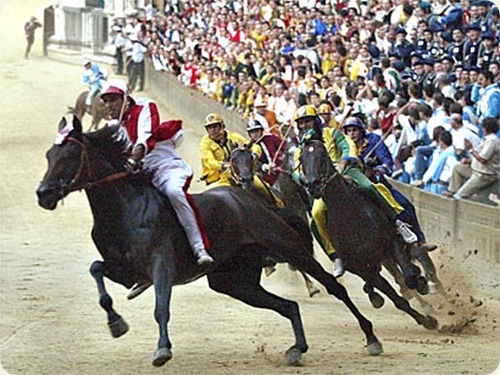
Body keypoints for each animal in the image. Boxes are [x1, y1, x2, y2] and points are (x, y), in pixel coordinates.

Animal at [37, 117, 384, 368]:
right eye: (49, 155)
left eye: (69, 155)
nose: (44, 194)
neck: (125, 207)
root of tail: (252, 202)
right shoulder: (126, 271)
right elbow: (97, 272)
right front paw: (116, 323)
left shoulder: (161, 265)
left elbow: (161, 308)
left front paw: (162, 350)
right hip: (233, 281)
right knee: (288, 305)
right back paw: (297, 348)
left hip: (288, 248)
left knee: (334, 287)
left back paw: (371, 337)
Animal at [296, 140, 438, 330]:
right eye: (301, 159)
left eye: (323, 155)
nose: (313, 185)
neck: (352, 217)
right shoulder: (362, 268)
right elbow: (398, 299)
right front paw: (428, 321)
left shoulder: (392, 244)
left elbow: (409, 278)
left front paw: (422, 284)